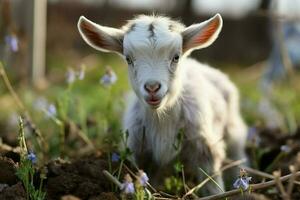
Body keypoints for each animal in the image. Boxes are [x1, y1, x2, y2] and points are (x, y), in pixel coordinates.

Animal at [78, 14, 247, 195]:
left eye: (176, 57)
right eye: (128, 59)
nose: (152, 87)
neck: (161, 118)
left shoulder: (204, 147)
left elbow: (211, 181)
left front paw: (219, 194)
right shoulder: (139, 151)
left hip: (233, 130)